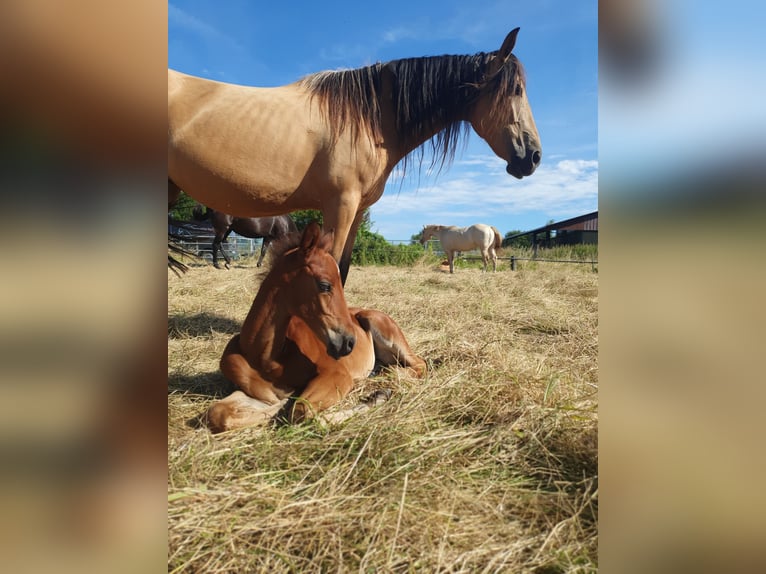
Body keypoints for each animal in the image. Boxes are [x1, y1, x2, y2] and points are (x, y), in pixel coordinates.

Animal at [168, 28, 541, 285]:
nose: (534, 156)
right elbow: (330, 268)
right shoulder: (340, 206)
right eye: (516, 90)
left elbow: (343, 270)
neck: (366, 119)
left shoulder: (357, 212)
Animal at [205, 222, 427, 432]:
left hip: (380, 327)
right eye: (325, 285)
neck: (266, 357)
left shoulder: (337, 373)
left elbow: (301, 411)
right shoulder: (260, 394)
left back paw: (387, 378)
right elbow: (218, 414)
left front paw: (377, 397)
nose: (349, 342)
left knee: (419, 363)